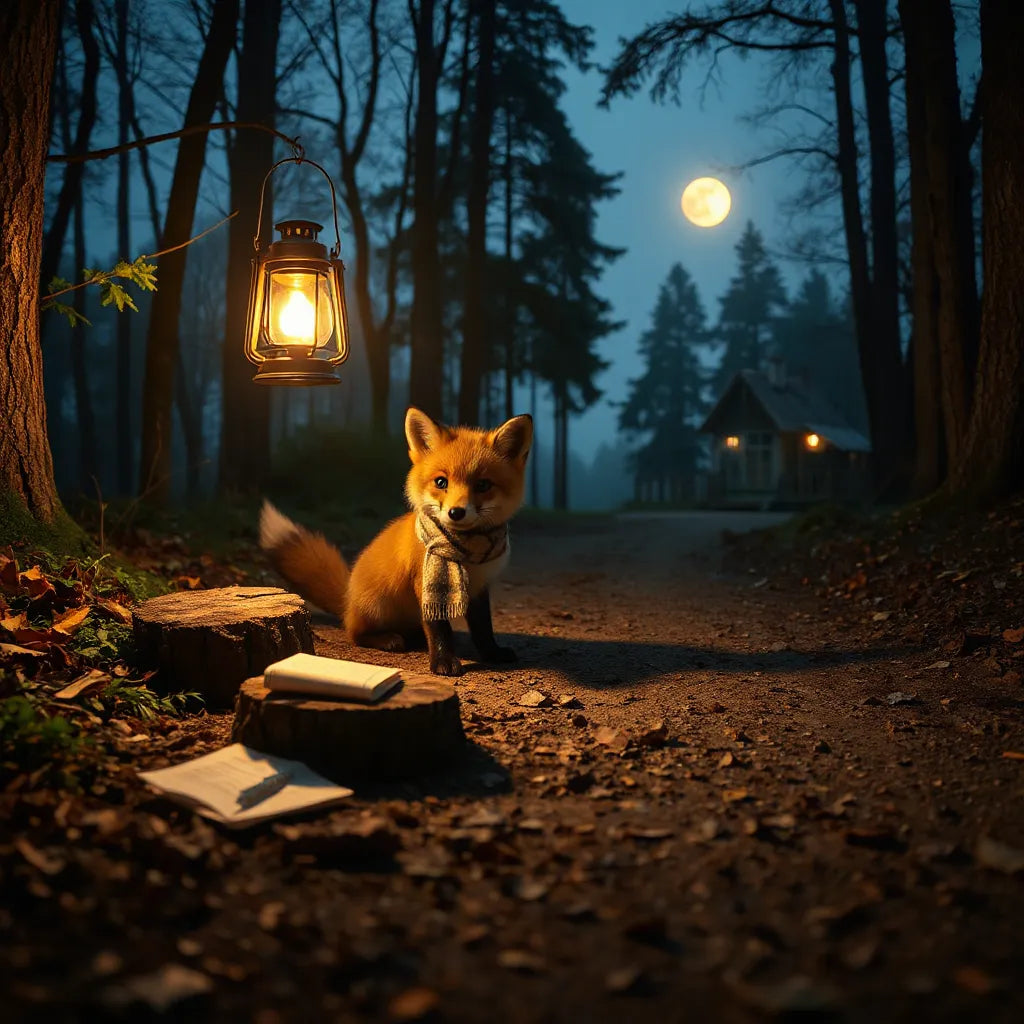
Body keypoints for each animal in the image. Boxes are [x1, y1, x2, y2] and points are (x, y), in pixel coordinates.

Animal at [259, 407, 533, 677]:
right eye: (441, 482)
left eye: (483, 485)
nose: (456, 512)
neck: (466, 553)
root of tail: (347, 598)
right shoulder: (425, 582)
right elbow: (438, 627)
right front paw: (443, 661)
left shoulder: (480, 587)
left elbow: (483, 627)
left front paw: (492, 653)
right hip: (376, 607)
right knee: (355, 634)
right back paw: (387, 639)